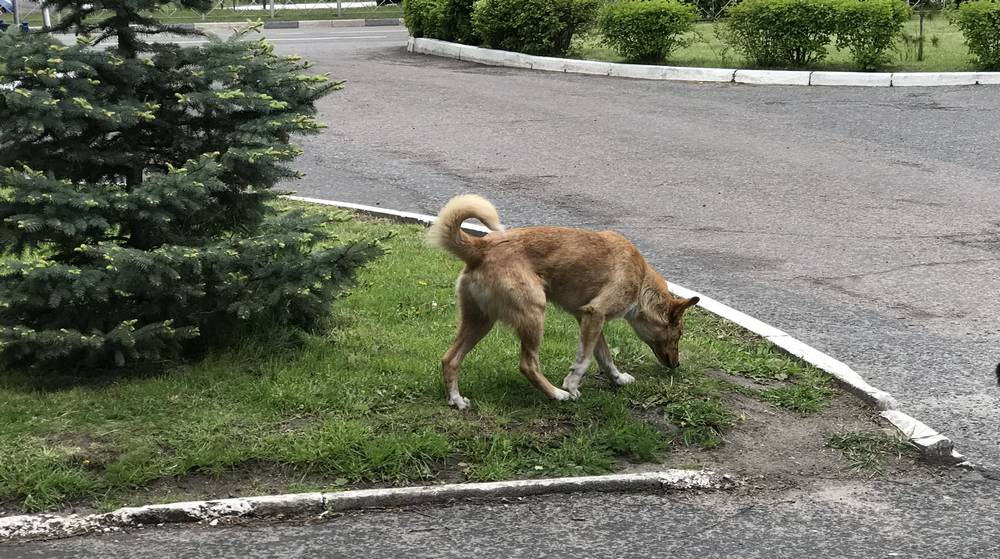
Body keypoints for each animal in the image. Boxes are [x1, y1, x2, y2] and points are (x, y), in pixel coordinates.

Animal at [426, 195, 700, 410]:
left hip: (480, 321)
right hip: (534, 314)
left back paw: (456, 400)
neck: (642, 280)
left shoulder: (589, 319)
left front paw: (618, 379)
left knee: (449, 359)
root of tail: (481, 246)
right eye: (678, 335)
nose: (676, 365)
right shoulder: (595, 314)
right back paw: (557, 395)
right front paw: (571, 385)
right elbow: (585, 360)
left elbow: (605, 358)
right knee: (528, 365)